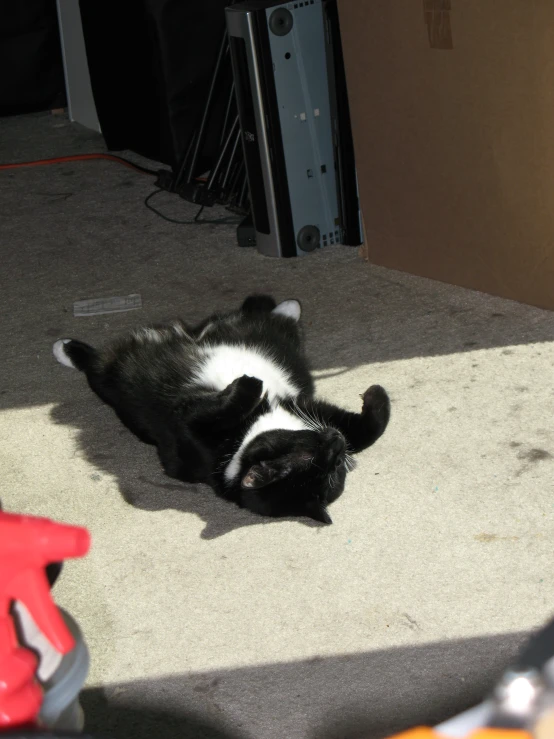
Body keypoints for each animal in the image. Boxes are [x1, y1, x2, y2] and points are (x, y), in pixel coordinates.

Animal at [51, 294, 388, 528]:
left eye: (334, 468)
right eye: (309, 456)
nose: (335, 441)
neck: (239, 442)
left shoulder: (293, 406)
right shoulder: (191, 422)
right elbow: (366, 431)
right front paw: (377, 395)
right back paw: (64, 347)